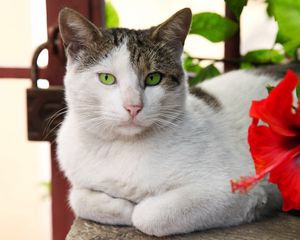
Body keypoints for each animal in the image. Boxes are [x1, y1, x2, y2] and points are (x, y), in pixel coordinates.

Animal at [56, 7, 284, 236]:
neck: (124, 147)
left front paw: (136, 207)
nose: (133, 106)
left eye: (153, 78)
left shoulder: (235, 190)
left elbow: (146, 216)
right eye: (106, 78)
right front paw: (121, 207)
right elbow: (77, 198)